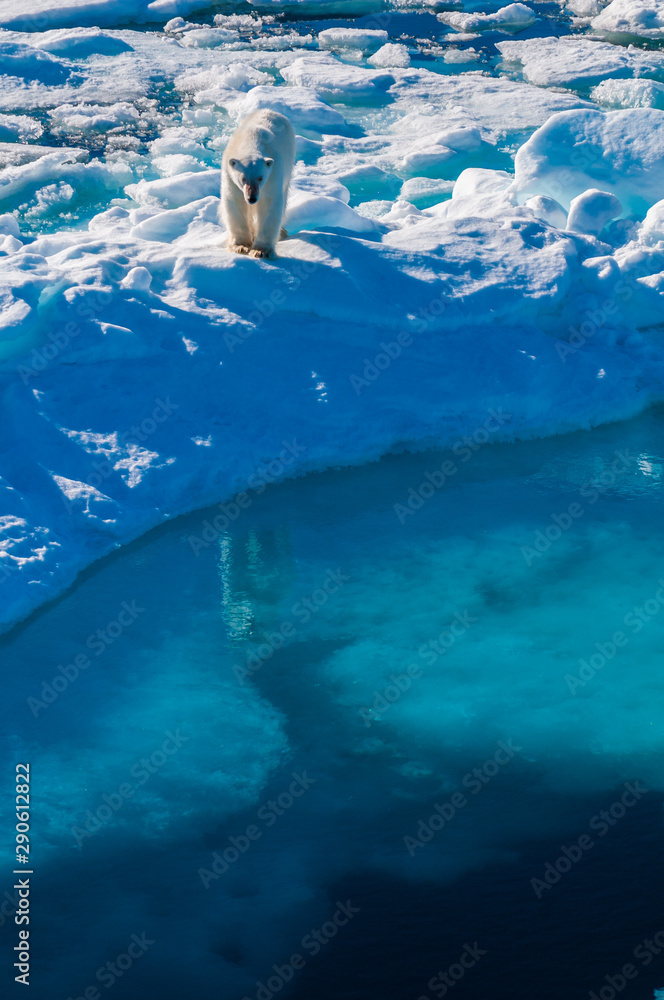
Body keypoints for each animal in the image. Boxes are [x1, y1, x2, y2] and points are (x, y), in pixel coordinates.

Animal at [220, 109, 296, 259]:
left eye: (260, 178)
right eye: (243, 178)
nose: (252, 198)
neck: (250, 140)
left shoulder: (273, 173)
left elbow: (269, 204)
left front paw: (261, 250)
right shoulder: (229, 174)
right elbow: (235, 201)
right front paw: (241, 246)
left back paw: (281, 233)